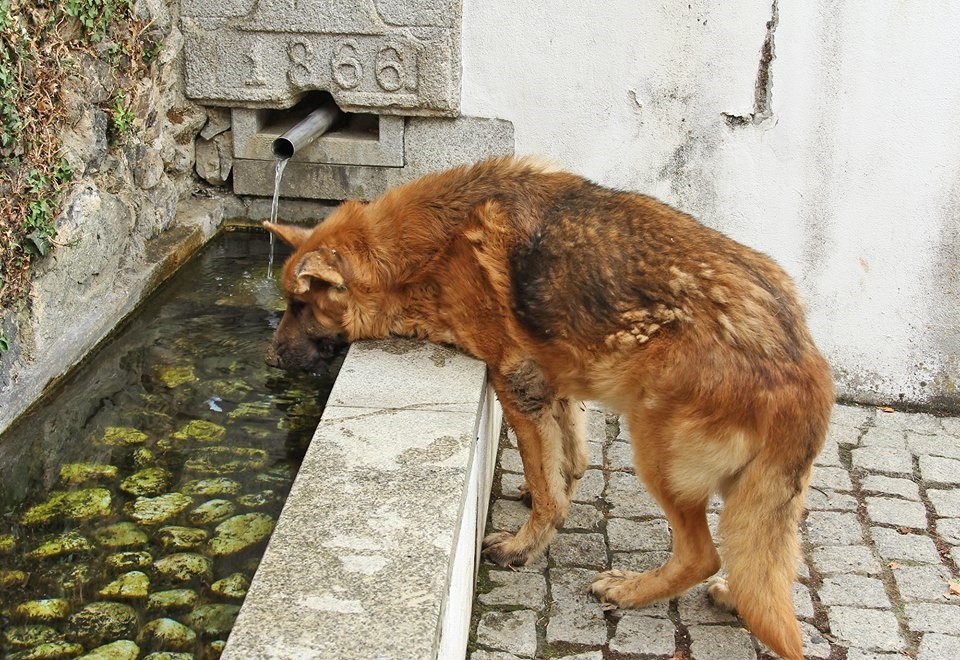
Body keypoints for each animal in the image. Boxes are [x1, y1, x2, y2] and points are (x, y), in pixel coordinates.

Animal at [262, 156, 832, 660]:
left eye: (299, 305)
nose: (270, 357)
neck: (426, 248)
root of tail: (806, 368)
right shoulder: (558, 380)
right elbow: (570, 456)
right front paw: (556, 482)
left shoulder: (515, 384)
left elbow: (547, 487)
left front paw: (525, 544)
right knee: (762, 561)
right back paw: (733, 594)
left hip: (655, 451)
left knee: (702, 554)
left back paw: (631, 589)